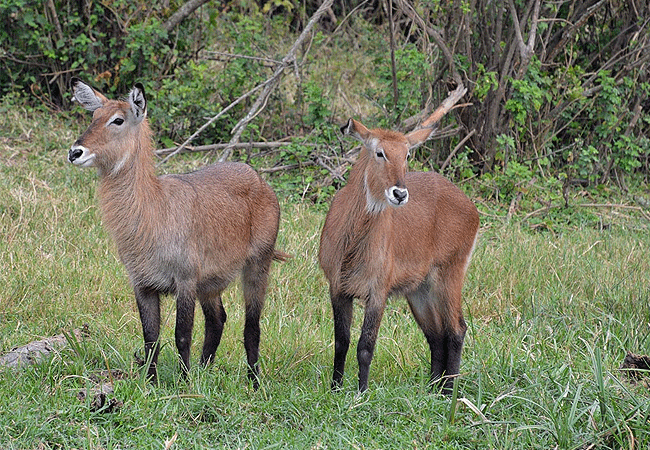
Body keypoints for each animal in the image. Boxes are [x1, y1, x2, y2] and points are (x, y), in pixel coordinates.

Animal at [67, 78, 286, 386]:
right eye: (94, 116)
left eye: (118, 119)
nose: (75, 152)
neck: (153, 211)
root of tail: (259, 178)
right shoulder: (143, 285)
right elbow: (151, 338)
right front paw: (150, 383)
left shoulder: (185, 281)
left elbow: (182, 335)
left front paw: (183, 384)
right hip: (210, 283)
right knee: (217, 320)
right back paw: (205, 371)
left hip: (257, 265)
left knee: (251, 326)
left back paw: (253, 383)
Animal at [316, 85, 478, 394]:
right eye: (379, 152)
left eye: (407, 155)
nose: (400, 193)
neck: (352, 243)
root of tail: (471, 206)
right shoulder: (337, 288)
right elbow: (341, 342)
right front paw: (335, 388)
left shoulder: (377, 292)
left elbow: (365, 346)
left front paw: (361, 393)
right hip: (419, 290)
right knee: (435, 335)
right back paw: (432, 390)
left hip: (449, 276)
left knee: (456, 329)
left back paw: (448, 392)